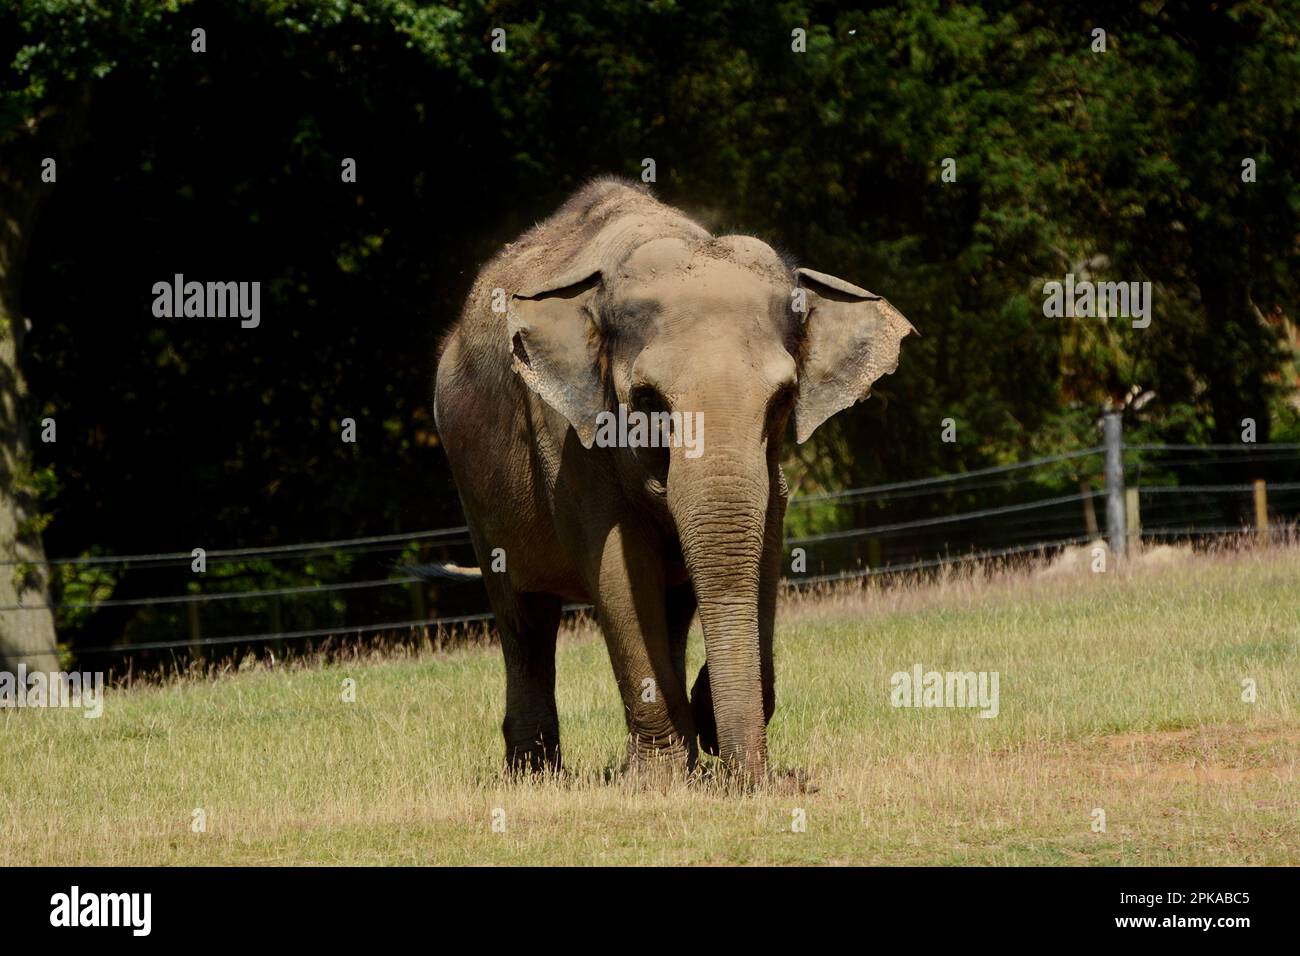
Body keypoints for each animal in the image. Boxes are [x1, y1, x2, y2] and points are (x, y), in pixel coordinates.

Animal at [428, 179, 915, 785]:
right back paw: (535, 777)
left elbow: (763, 546)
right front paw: (658, 781)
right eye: (647, 400)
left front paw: (704, 734)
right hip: (473, 489)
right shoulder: (568, 437)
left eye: (783, 400)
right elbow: (619, 566)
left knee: (673, 606)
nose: (753, 781)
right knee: (525, 617)